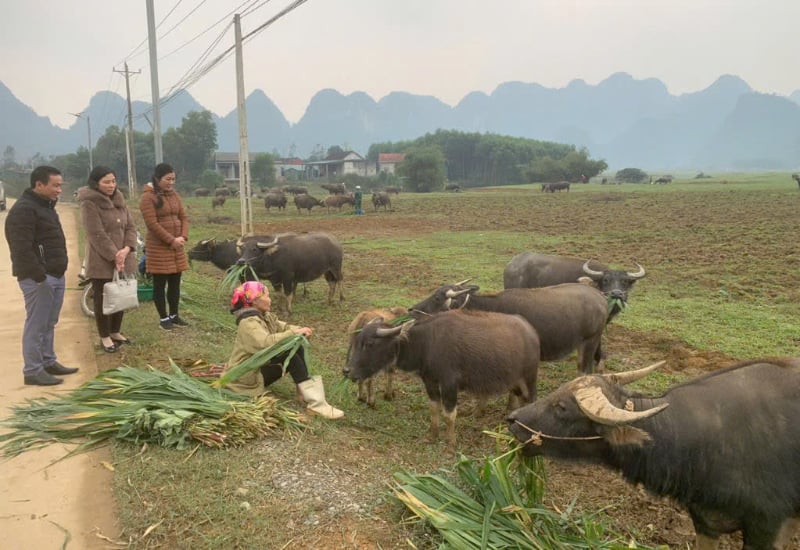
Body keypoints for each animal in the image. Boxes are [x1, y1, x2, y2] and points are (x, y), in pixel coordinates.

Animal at [344, 312, 536, 454]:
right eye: (357, 340)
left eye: (369, 344)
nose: (347, 371)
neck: (427, 343)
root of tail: (530, 331)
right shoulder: (429, 381)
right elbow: (434, 408)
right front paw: (432, 436)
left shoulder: (450, 384)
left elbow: (449, 415)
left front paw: (451, 445)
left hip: (529, 379)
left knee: (531, 402)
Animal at [412, 282, 608, 378]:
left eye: (437, 298)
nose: (412, 310)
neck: (492, 308)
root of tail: (599, 296)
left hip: (590, 342)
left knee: (585, 369)